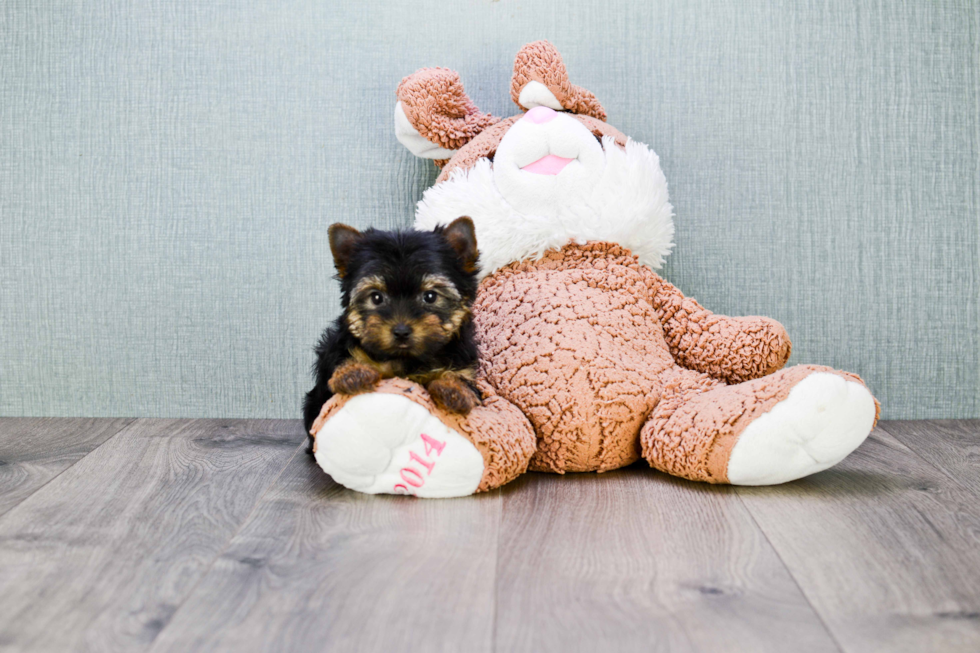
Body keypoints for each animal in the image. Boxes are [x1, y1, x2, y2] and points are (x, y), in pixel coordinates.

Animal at [300, 216, 480, 450]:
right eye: (376, 297)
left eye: (430, 296)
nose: (401, 331)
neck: (404, 358)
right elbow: (344, 362)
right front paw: (352, 373)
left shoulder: (464, 364)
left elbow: (461, 379)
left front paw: (453, 389)